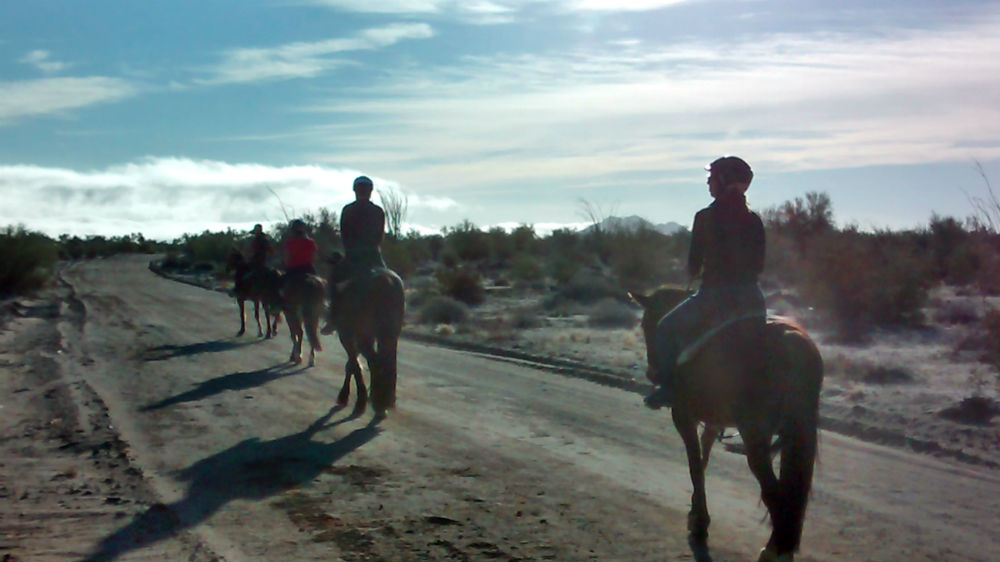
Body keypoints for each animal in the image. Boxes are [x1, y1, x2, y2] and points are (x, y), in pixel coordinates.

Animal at [328, 254, 406, 416]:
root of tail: (386, 282)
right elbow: (352, 364)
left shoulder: (347, 335)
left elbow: (353, 364)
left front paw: (349, 397)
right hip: (389, 334)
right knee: (386, 361)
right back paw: (385, 400)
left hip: (364, 335)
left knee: (376, 362)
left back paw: (377, 401)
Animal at [628, 286, 824, 556]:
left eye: (647, 324)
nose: (652, 372)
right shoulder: (713, 422)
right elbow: (703, 459)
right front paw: (696, 513)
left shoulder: (683, 416)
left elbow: (694, 465)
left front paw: (700, 523)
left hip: (755, 435)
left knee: (773, 493)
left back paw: (773, 550)